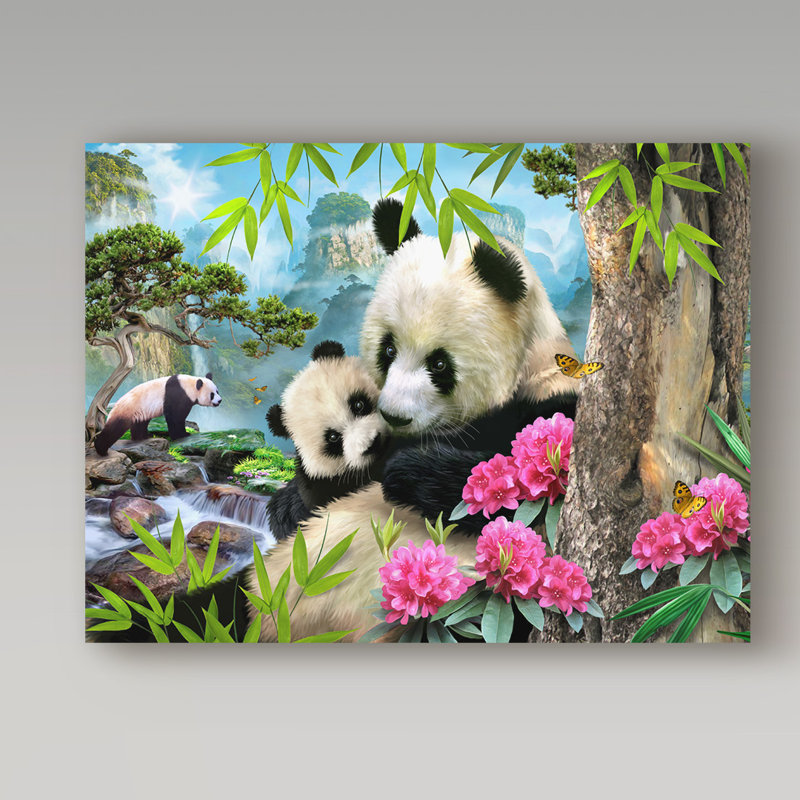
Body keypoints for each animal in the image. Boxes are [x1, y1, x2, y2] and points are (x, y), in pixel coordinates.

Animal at [93, 373, 222, 456]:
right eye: (212, 394)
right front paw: (183, 435)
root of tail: (114, 407)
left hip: (139, 411)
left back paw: (143, 437)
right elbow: (175, 416)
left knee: (140, 424)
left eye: (217, 391)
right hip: (127, 410)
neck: (189, 385)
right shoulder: (177, 394)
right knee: (115, 428)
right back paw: (101, 449)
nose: (219, 400)